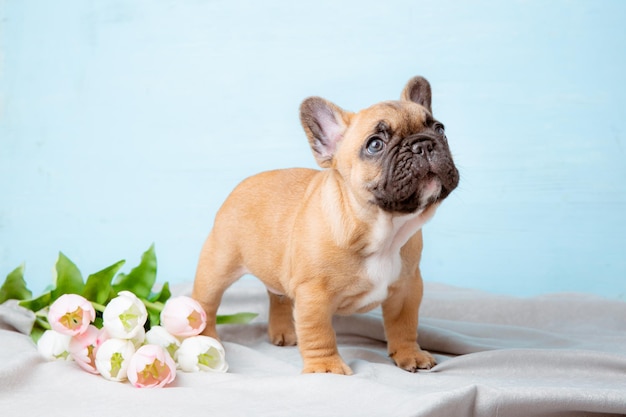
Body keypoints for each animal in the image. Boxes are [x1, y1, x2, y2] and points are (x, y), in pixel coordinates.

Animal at [191, 75, 458, 374]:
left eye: (440, 129)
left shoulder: (407, 288)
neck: (383, 230)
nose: (423, 144)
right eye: (375, 145)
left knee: (278, 296)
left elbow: (404, 325)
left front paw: (410, 354)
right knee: (206, 303)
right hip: (218, 265)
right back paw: (207, 340)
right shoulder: (313, 295)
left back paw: (284, 332)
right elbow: (319, 332)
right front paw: (326, 367)